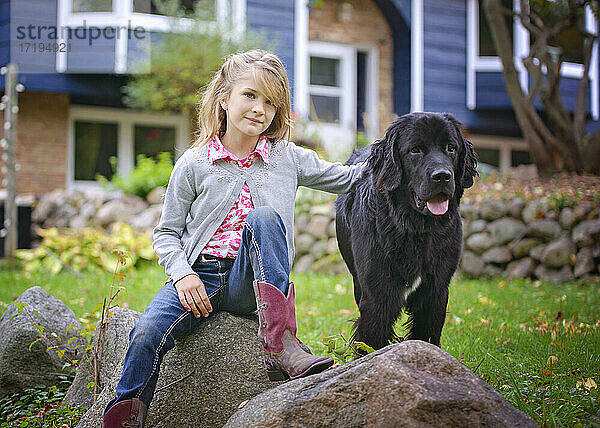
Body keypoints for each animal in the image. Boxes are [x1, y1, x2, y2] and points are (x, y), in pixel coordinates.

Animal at [336, 112, 476, 350]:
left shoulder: (436, 291)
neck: (418, 230)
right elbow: (371, 338)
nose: (442, 176)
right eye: (415, 150)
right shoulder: (376, 293)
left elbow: (427, 334)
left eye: (450, 147)